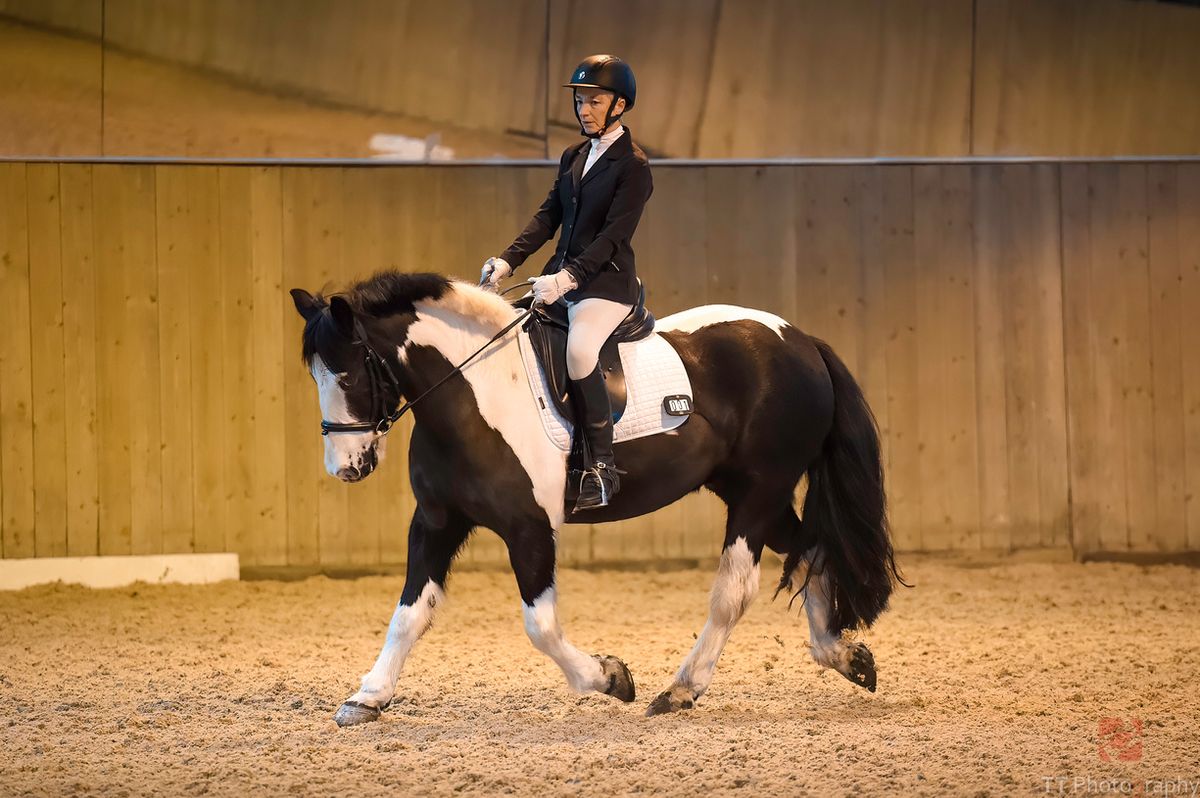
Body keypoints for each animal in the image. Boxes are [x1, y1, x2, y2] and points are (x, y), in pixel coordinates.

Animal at [290, 271, 902, 724]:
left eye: (347, 375)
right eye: (315, 376)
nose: (345, 468)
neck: (472, 395)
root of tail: (800, 340)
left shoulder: (530, 527)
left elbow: (540, 626)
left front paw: (610, 677)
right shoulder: (437, 521)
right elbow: (409, 613)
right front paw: (367, 697)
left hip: (759, 492)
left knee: (735, 590)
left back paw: (680, 690)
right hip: (752, 493)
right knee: (812, 550)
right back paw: (845, 656)